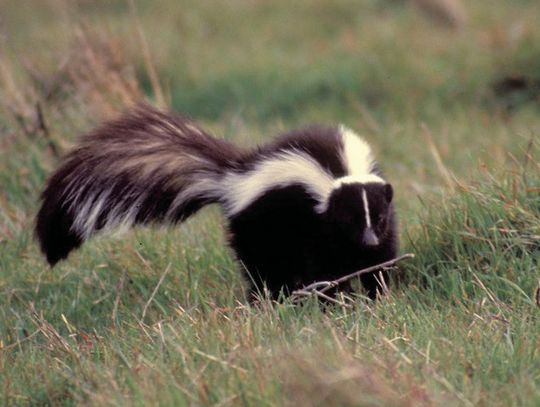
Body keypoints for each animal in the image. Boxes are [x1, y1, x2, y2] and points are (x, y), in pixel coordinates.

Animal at [33, 105, 396, 302]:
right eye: (350, 220)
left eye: (377, 219)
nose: (368, 239)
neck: (342, 172)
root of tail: (232, 176)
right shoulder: (315, 224)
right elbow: (326, 266)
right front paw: (336, 301)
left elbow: (381, 261)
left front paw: (378, 296)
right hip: (258, 227)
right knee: (263, 269)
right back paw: (267, 301)